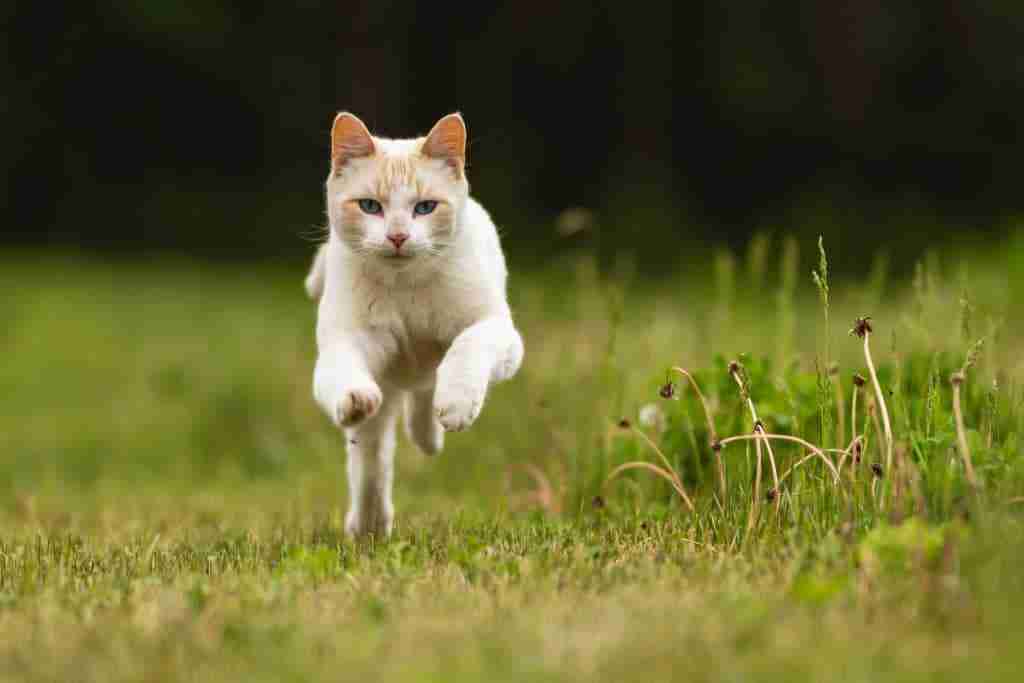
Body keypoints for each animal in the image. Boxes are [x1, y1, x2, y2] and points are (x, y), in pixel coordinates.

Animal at [307, 111, 524, 540]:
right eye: (370, 206)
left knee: (426, 389)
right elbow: (344, 375)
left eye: (425, 207)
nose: (397, 236)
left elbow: (467, 347)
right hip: (380, 409)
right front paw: (354, 398)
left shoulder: (498, 332)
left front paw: (456, 405)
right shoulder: (343, 344)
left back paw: (430, 435)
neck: (405, 286)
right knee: (371, 466)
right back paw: (369, 528)